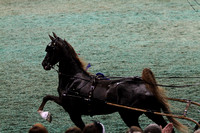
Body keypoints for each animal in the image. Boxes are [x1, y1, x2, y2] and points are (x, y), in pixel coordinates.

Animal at [38, 32, 187, 132]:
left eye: (49, 49)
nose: (44, 64)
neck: (73, 79)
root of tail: (146, 85)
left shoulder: (72, 112)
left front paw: (45, 115)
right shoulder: (66, 105)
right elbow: (47, 97)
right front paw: (46, 115)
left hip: (129, 115)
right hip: (152, 112)